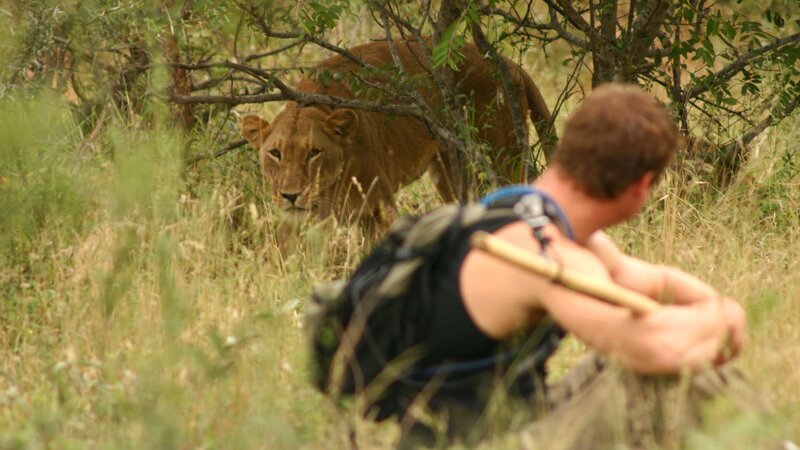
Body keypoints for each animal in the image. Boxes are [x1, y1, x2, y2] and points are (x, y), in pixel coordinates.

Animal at [240, 39, 553, 230]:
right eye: (275, 153)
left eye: (314, 153)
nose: (290, 195)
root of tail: (505, 61)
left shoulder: (380, 204)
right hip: (447, 170)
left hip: (504, 155)